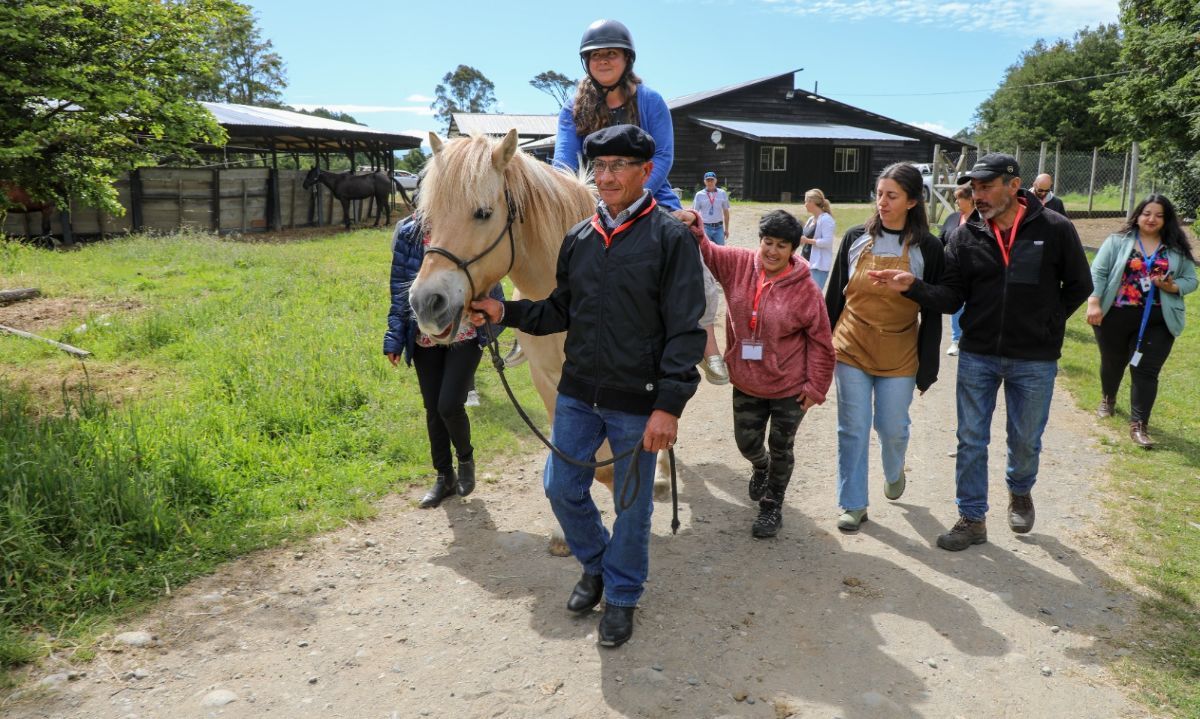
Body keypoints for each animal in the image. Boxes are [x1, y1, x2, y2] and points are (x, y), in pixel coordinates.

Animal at [410, 129, 676, 556]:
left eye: (482, 213)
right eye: (428, 218)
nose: (425, 303)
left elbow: (613, 462)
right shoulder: (549, 380)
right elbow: (570, 456)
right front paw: (565, 531)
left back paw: (664, 477)